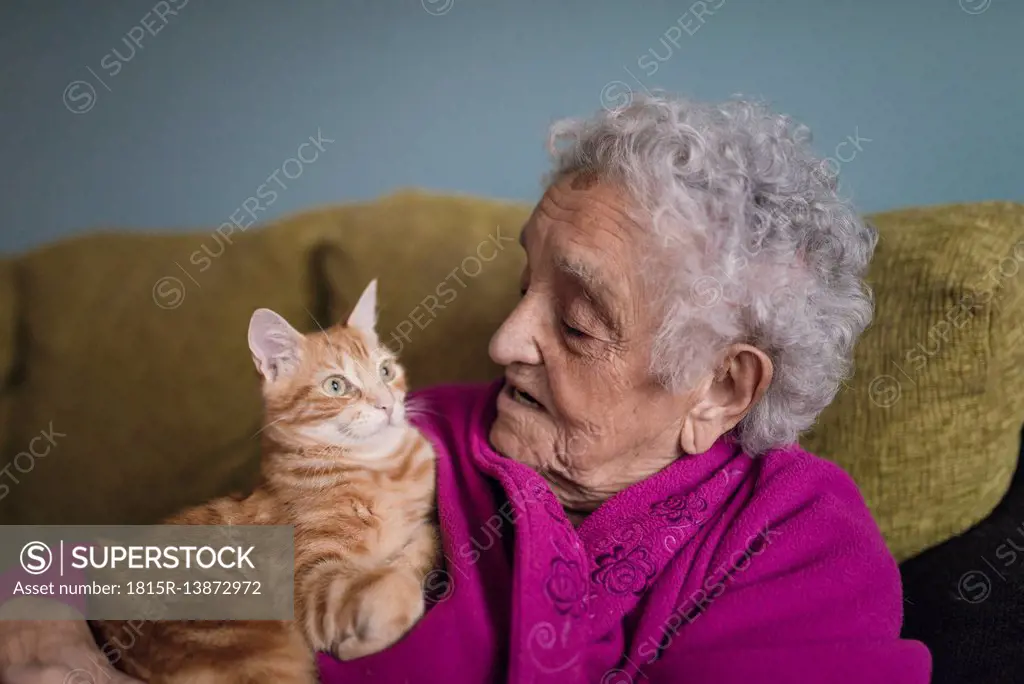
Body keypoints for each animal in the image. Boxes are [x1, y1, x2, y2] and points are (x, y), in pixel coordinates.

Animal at [96, 278, 444, 684]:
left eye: (386, 371)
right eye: (336, 386)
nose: (387, 405)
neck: (382, 469)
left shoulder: (422, 524)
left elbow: (425, 543)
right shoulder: (309, 585)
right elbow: (398, 588)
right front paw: (359, 643)